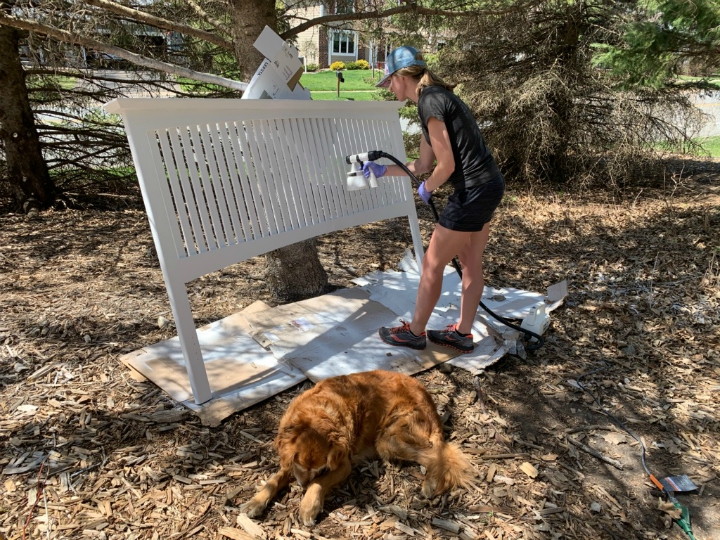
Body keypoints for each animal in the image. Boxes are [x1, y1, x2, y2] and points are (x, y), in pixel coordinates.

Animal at [240, 370, 472, 524]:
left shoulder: (342, 465)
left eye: (318, 469)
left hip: (388, 440)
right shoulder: (290, 460)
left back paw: (430, 482)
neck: (318, 415)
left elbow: (320, 482)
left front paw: (308, 506)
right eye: (300, 466)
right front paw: (255, 502)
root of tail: (430, 400)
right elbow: (274, 479)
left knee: (436, 454)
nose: (301, 486)